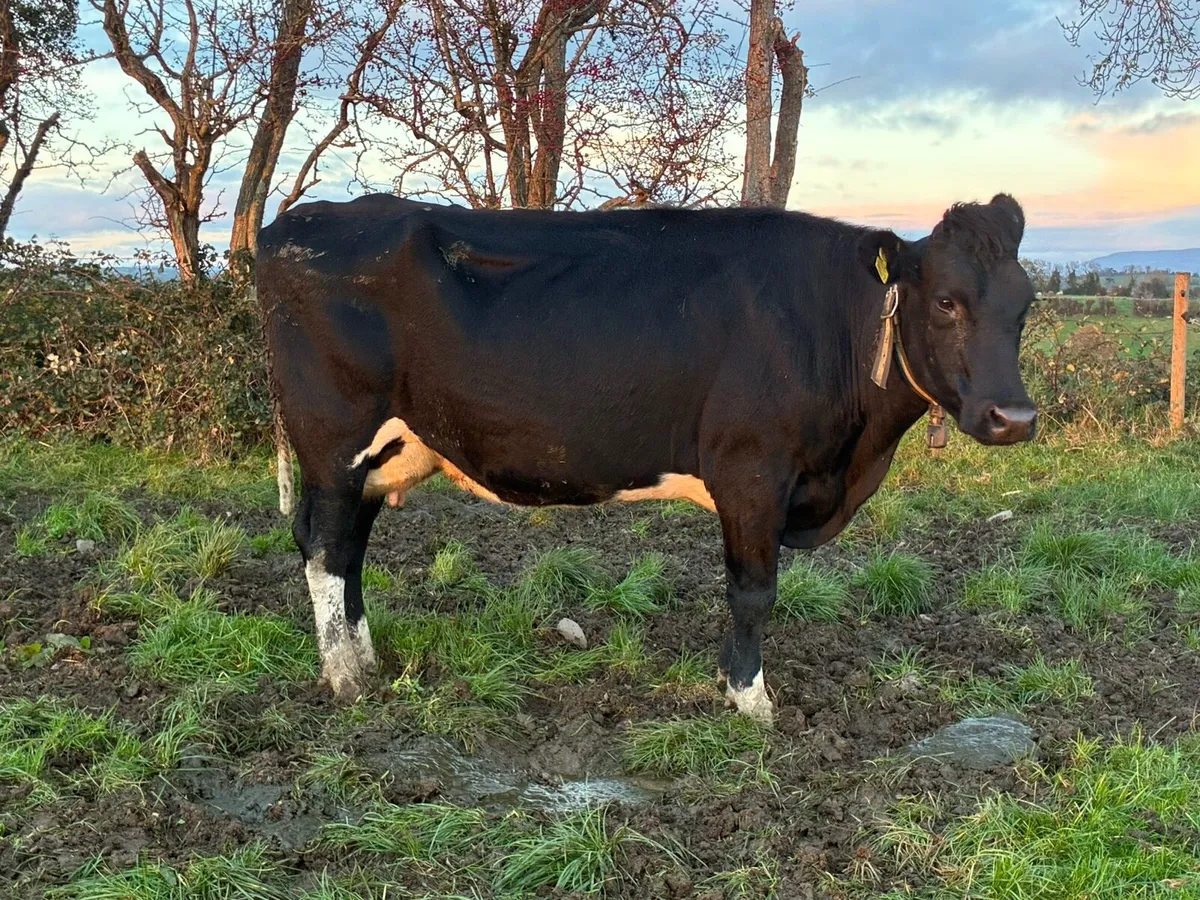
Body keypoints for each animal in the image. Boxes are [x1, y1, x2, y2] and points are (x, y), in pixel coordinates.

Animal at [256, 192, 1037, 723]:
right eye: (946, 302)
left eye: (1026, 305)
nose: (1015, 418)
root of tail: (296, 222)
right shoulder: (752, 471)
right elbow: (754, 591)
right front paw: (751, 700)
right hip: (335, 439)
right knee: (324, 547)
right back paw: (348, 680)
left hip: (382, 453)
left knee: (348, 548)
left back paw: (365, 656)